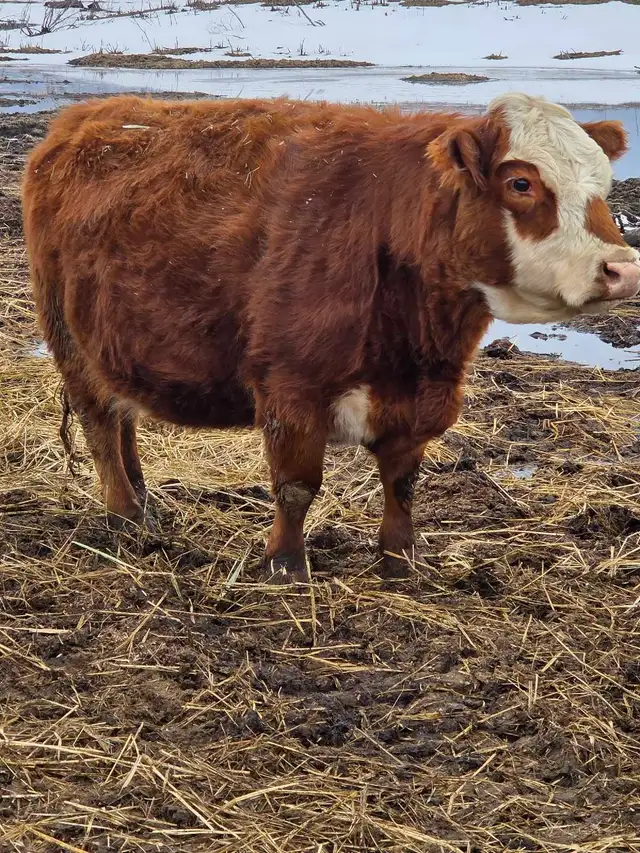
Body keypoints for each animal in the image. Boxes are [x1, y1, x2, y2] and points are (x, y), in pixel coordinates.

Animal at [21, 92, 640, 582]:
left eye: (604, 186)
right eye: (521, 182)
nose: (622, 268)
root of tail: (86, 116)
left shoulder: (420, 398)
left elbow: (402, 483)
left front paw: (399, 560)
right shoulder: (290, 387)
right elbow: (296, 486)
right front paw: (285, 566)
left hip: (113, 344)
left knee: (123, 418)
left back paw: (146, 502)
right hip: (69, 341)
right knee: (100, 425)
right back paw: (125, 518)